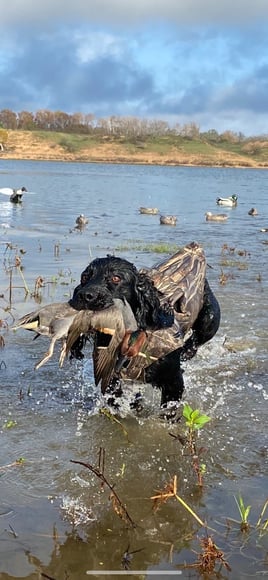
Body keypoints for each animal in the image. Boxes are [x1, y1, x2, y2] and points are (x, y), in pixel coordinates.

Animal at [69, 254, 220, 408]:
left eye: (116, 278)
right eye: (84, 277)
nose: (85, 295)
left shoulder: (173, 383)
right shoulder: (112, 381)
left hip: (209, 320)